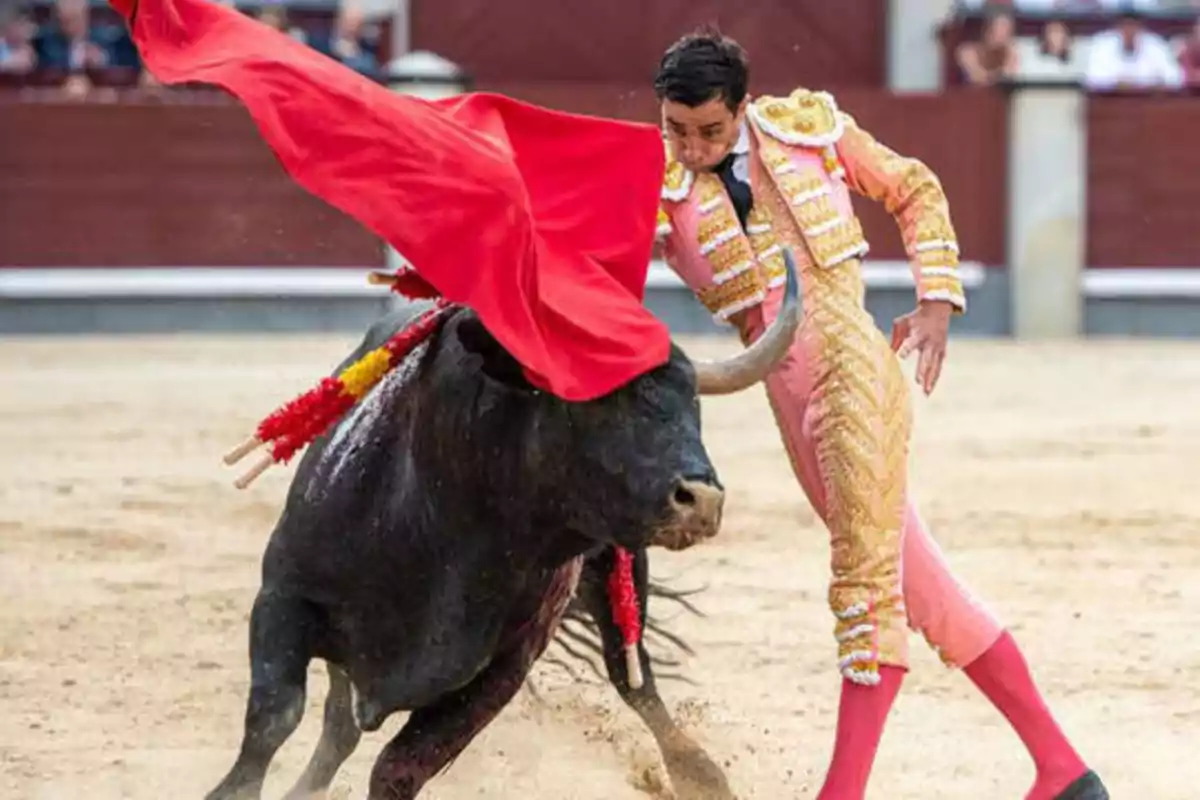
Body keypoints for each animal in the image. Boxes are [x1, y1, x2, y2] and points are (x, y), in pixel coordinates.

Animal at [206, 253, 801, 796]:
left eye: (693, 403)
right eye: (596, 400)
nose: (701, 500)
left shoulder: (501, 671)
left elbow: (400, 766)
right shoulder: (284, 597)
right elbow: (274, 718)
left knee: (634, 680)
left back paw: (700, 775)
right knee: (337, 724)